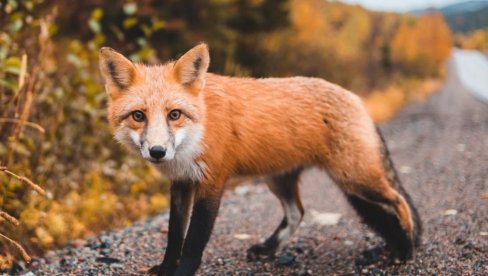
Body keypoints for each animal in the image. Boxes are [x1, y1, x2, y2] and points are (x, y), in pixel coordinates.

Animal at [99, 43, 420, 276]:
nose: (157, 152)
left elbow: (193, 241)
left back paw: (405, 249)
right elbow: (175, 235)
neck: (199, 129)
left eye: (174, 114)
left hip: (354, 178)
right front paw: (167, 267)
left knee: (399, 202)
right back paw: (269, 248)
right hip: (280, 179)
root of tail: (356, 98)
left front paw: (182, 272)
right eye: (138, 116)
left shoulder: (212, 182)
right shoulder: (181, 183)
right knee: (297, 213)